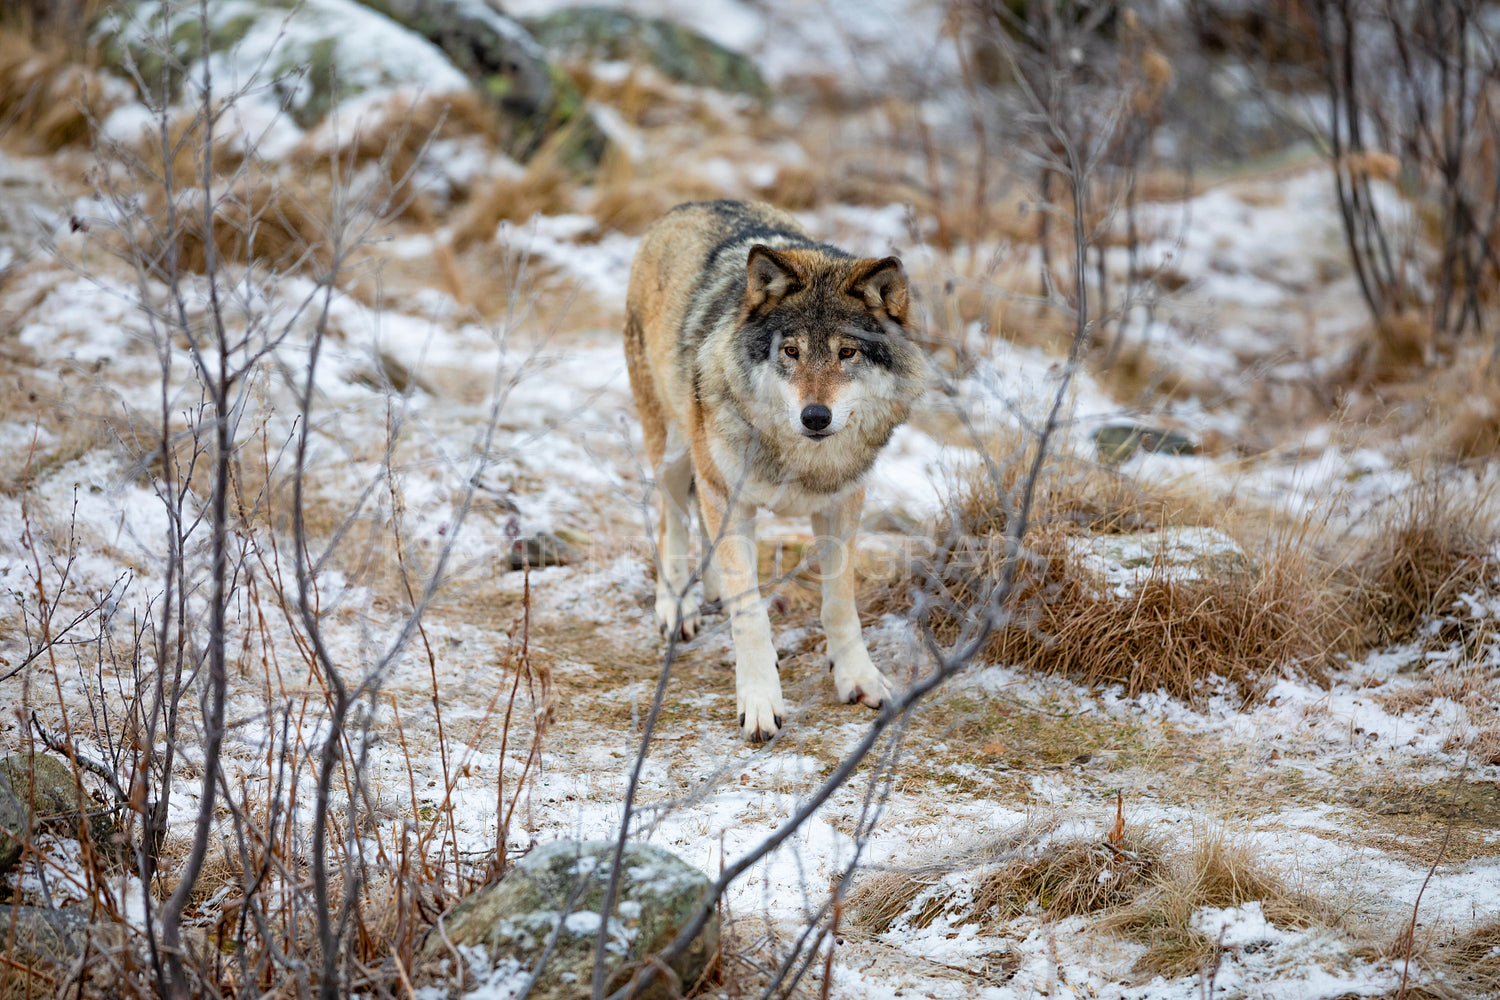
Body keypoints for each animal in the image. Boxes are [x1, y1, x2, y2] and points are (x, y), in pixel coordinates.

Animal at [621, 199, 924, 740]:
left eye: (847, 352)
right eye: (791, 351)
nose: (815, 417)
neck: (800, 459)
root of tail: (688, 205)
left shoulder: (843, 503)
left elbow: (839, 604)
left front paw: (858, 678)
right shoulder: (730, 497)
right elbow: (751, 616)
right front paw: (761, 702)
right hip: (674, 450)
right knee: (672, 520)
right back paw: (677, 605)